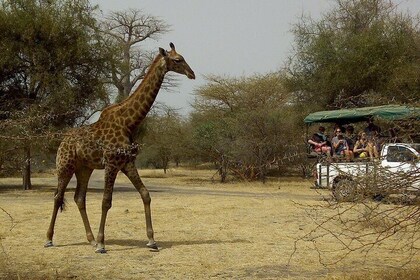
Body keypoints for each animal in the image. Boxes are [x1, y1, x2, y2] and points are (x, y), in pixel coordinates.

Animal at [45, 42, 196, 254]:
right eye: (177, 60)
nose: (192, 73)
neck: (129, 123)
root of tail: (63, 140)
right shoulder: (112, 163)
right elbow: (106, 201)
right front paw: (102, 244)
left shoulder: (127, 162)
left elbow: (145, 194)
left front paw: (152, 241)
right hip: (65, 166)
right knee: (58, 197)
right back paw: (50, 239)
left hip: (84, 168)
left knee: (79, 198)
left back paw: (90, 240)